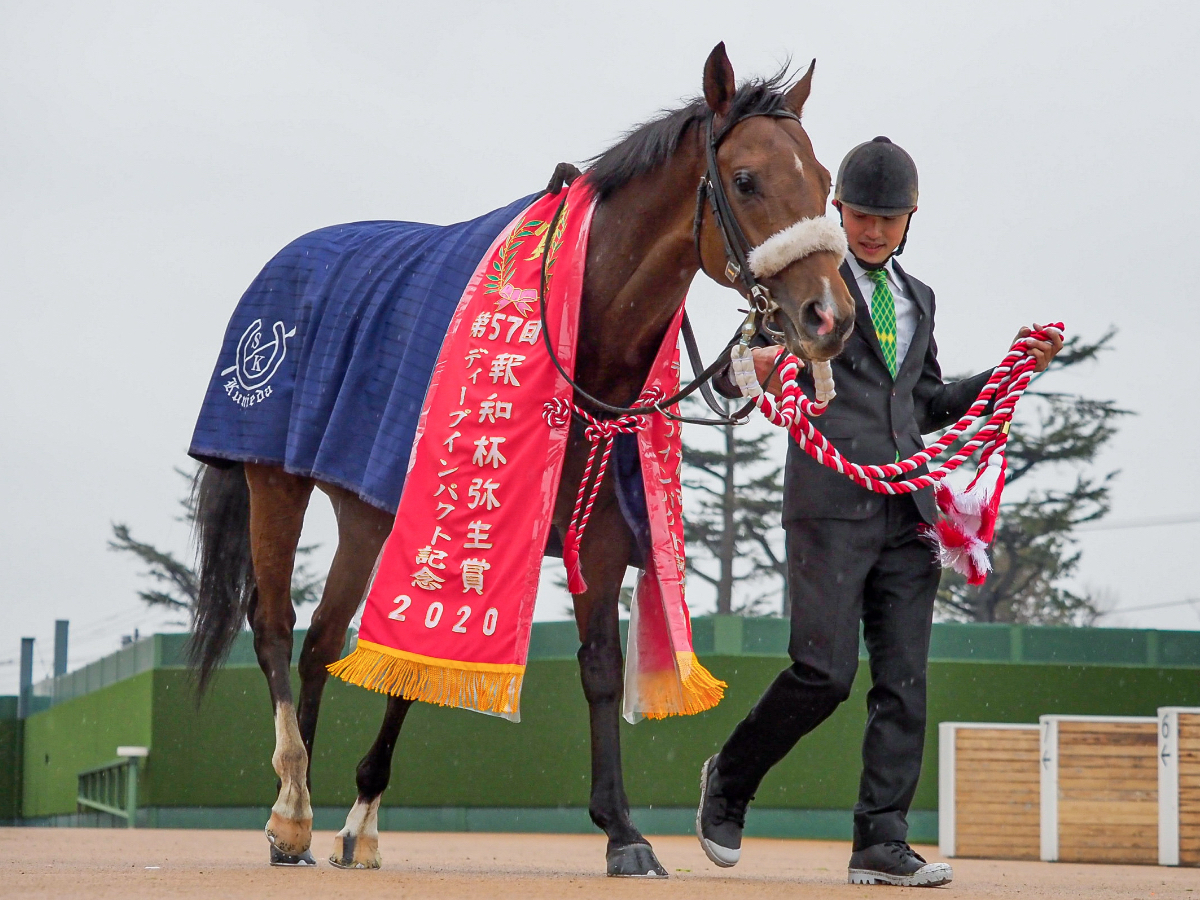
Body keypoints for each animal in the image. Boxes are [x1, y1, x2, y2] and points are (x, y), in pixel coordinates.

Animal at [189, 44, 854, 883]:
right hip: (275, 479)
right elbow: (420, 658)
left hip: (364, 513)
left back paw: (304, 814)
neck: (581, 333)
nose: (830, 317)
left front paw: (622, 832)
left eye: (825, 180)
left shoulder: (597, 532)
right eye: (746, 180)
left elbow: (593, 667)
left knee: (320, 643)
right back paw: (290, 808)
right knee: (275, 625)